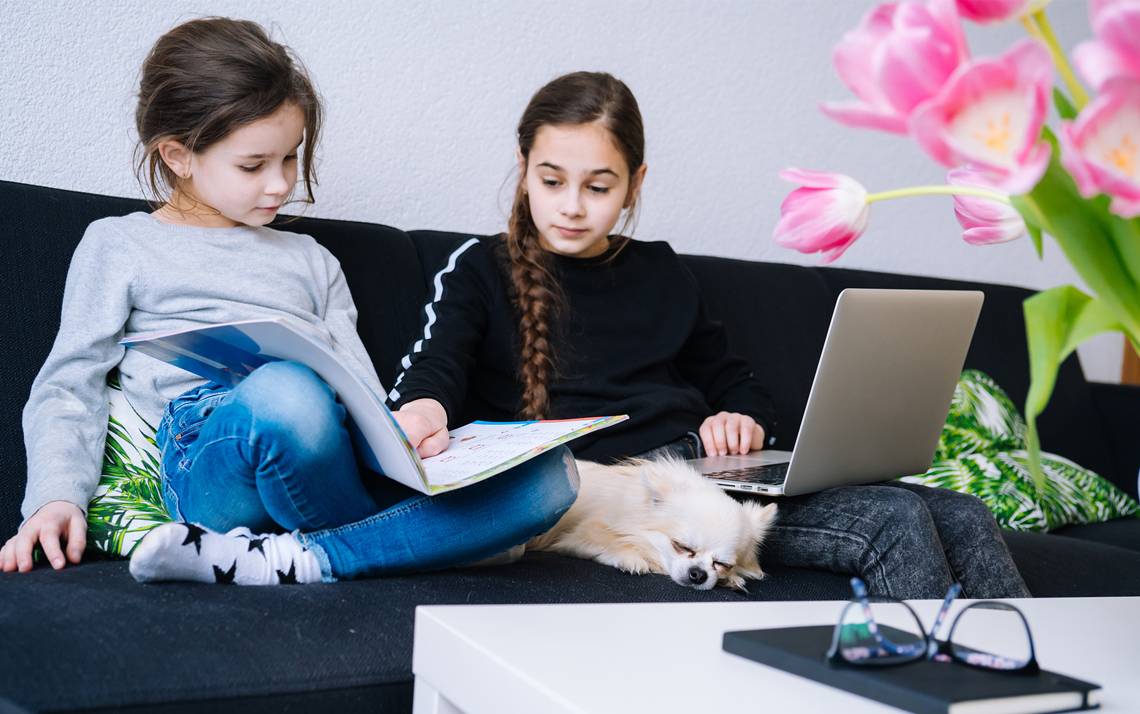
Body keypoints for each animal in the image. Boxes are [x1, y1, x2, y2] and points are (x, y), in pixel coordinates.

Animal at [526, 456, 779, 588]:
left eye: (721, 564)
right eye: (682, 547)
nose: (698, 574)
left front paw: (733, 578)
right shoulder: (578, 535)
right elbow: (609, 540)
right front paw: (631, 558)